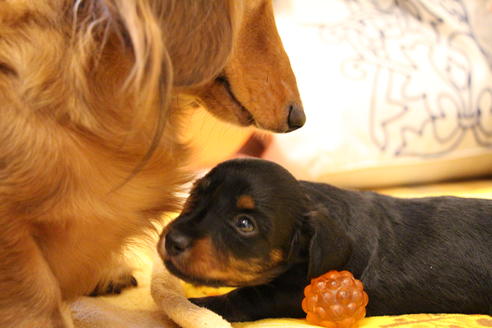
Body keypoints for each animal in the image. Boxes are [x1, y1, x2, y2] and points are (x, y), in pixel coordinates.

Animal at [159, 158, 492, 322]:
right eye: (196, 194)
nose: (172, 240)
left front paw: (193, 304)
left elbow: (239, 299)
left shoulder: (287, 294)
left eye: (245, 224)